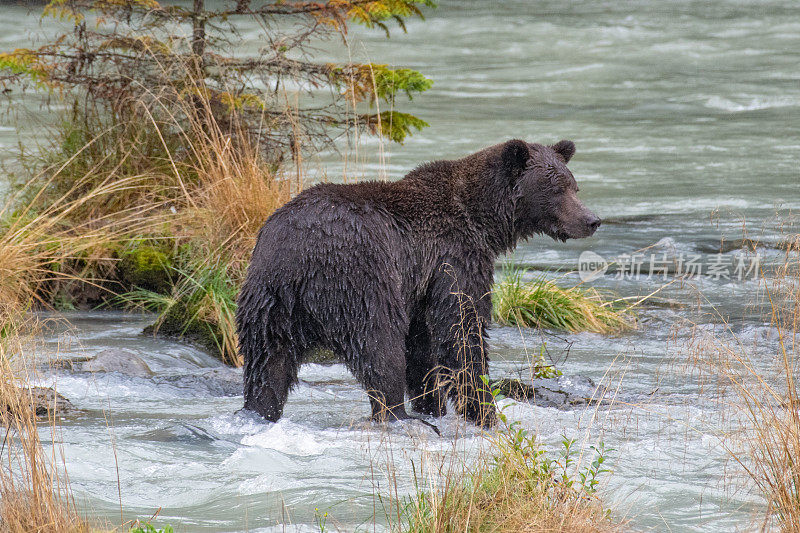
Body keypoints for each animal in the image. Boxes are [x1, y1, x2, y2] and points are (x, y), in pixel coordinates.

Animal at [238, 139, 600, 426]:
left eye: (574, 186)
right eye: (556, 188)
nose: (592, 220)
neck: (483, 221)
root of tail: (301, 255)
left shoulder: (420, 285)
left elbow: (423, 346)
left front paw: (433, 405)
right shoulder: (453, 257)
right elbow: (462, 330)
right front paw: (485, 412)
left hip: (267, 297)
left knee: (266, 365)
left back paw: (259, 411)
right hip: (361, 281)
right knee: (381, 349)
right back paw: (397, 415)